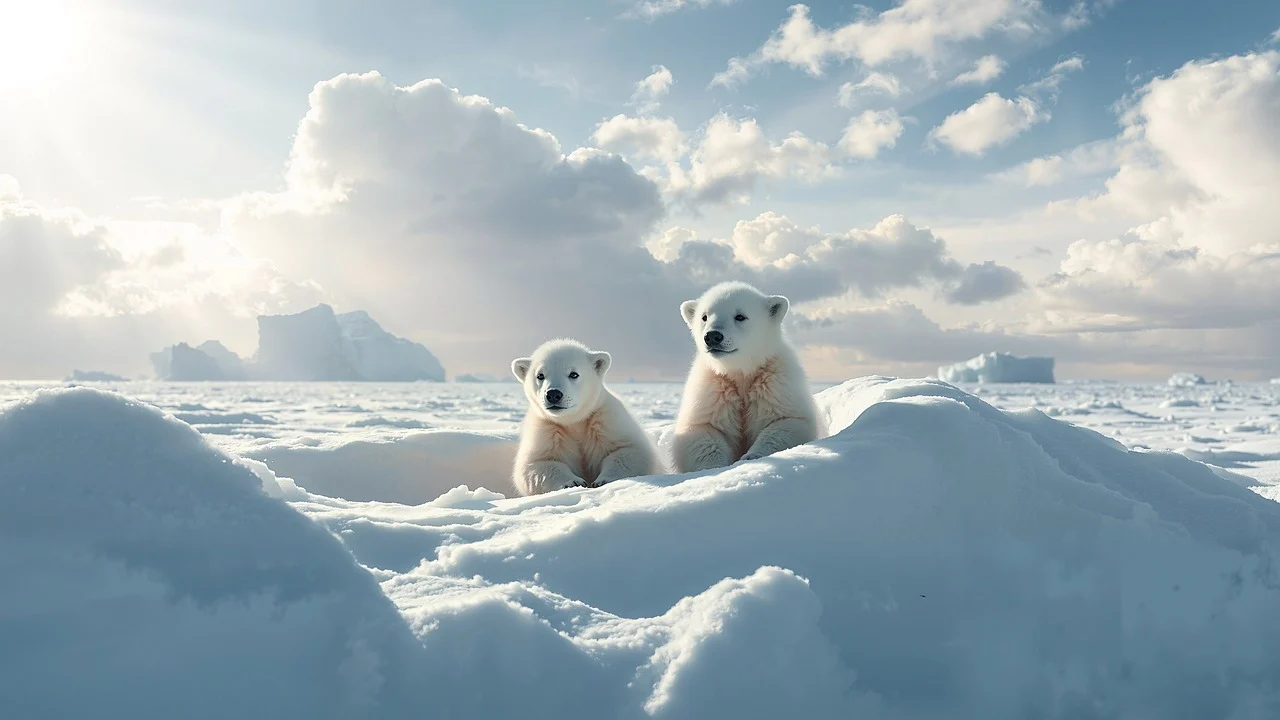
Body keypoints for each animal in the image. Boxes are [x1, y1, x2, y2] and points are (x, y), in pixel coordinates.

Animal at [510, 338, 660, 495]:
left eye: (573, 374)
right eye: (540, 375)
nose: (553, 394)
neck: (575, 422)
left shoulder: (607, 421)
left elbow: (631, 451)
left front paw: (602, 480)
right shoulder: (547, 430)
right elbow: (535, 465)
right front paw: (573, 482)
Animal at [671, 281, 821, 473]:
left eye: (740, 316)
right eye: (704, 316)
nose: (712, 336)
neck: (740, 372)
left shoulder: (775, 385)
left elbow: (786, 423)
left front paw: (752, 456)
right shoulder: (713, 388)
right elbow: (701, 431)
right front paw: (714, 468)